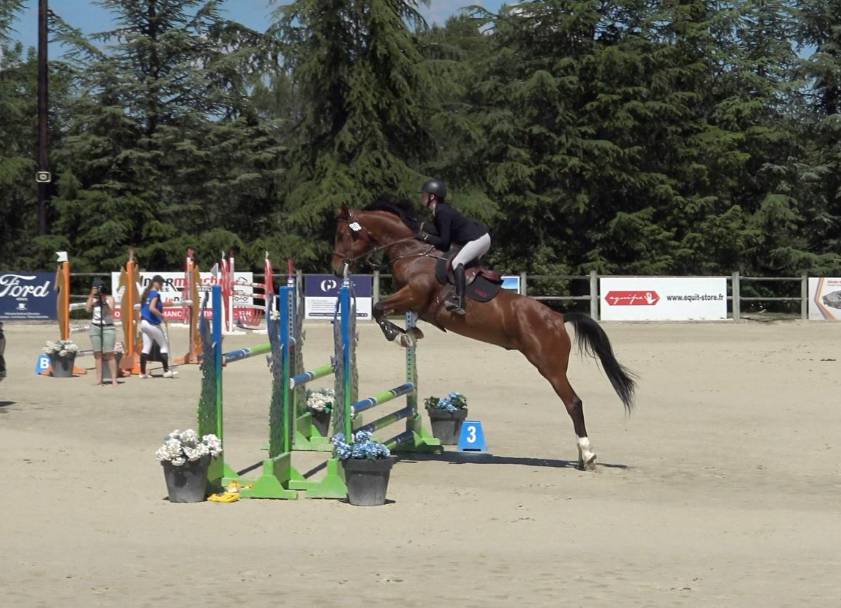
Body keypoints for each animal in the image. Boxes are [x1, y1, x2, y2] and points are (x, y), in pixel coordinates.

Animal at [331, 202, 636, 469]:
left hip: (550, 367)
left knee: (573, 402)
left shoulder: (413, 294)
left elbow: (378, 307)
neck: (413, 252)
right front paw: (411, 333)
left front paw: (399, 335)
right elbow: (389, 312)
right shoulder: (413, 303)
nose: (335, 269)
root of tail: (558, 318)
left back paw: (588, 454)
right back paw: (581, 457)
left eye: (344, 234)